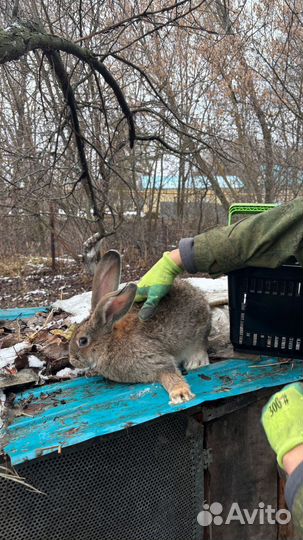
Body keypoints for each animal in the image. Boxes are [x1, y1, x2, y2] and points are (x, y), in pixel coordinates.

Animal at [69, 251, 211, 402]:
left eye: (83, 341)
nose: (72, 360)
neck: (108, 344)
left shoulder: (153, 359)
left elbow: (169, 374)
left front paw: (180, 393)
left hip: (198, 332)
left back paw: (196, 362)